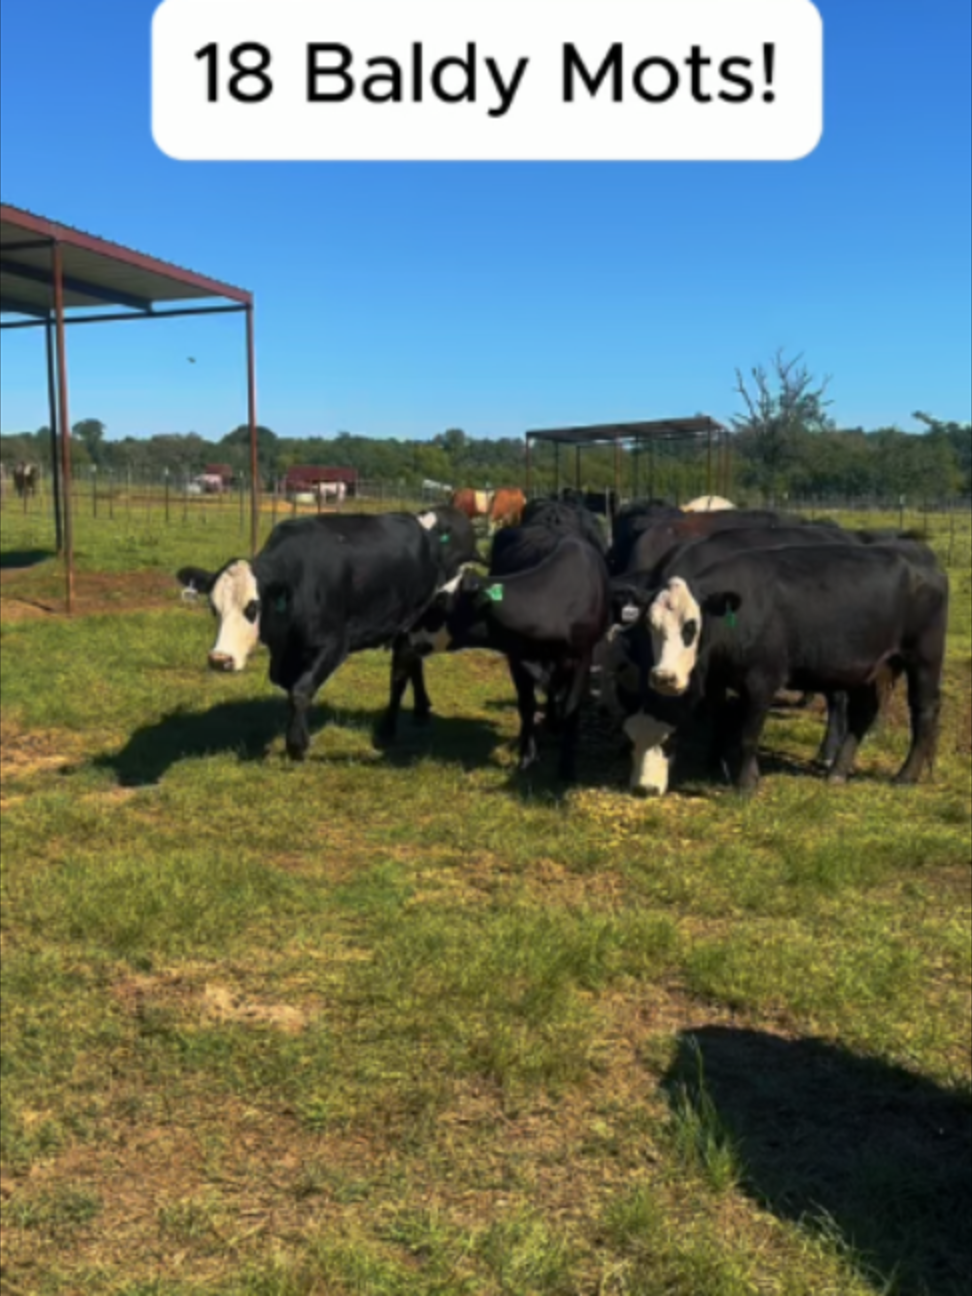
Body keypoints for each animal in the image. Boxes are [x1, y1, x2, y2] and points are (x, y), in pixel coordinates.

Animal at [176, 506, 478, 758]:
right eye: (214, 607)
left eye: (253, 607)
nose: (220, 659)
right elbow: (292, 690)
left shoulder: (334, 644)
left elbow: (300, 691)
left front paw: (297, 745)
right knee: (413, 663)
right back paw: (420, 710)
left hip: (410, 621)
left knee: (400, 674)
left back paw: (389, 728)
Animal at [410, 535, 610, 781]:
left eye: (439, 601)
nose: (408, 629)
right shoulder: (517, 658)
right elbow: (527, 705)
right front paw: (527, 756)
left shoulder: (582, 659)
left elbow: (571, 708)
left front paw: (566, 768)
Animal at [618, 543, 947, 794]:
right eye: (651, 624)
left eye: (690, 626)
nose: (664, 677)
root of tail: (922, 554)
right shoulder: (717, 679)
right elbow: (720, 720)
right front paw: (715, 763)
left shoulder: (761, 682)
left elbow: (749, 734)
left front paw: (746, 783)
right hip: (869, 668)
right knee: (864, 713)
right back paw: (838, 770)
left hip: (924, 660)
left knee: (924, 712)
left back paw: (905, 775)